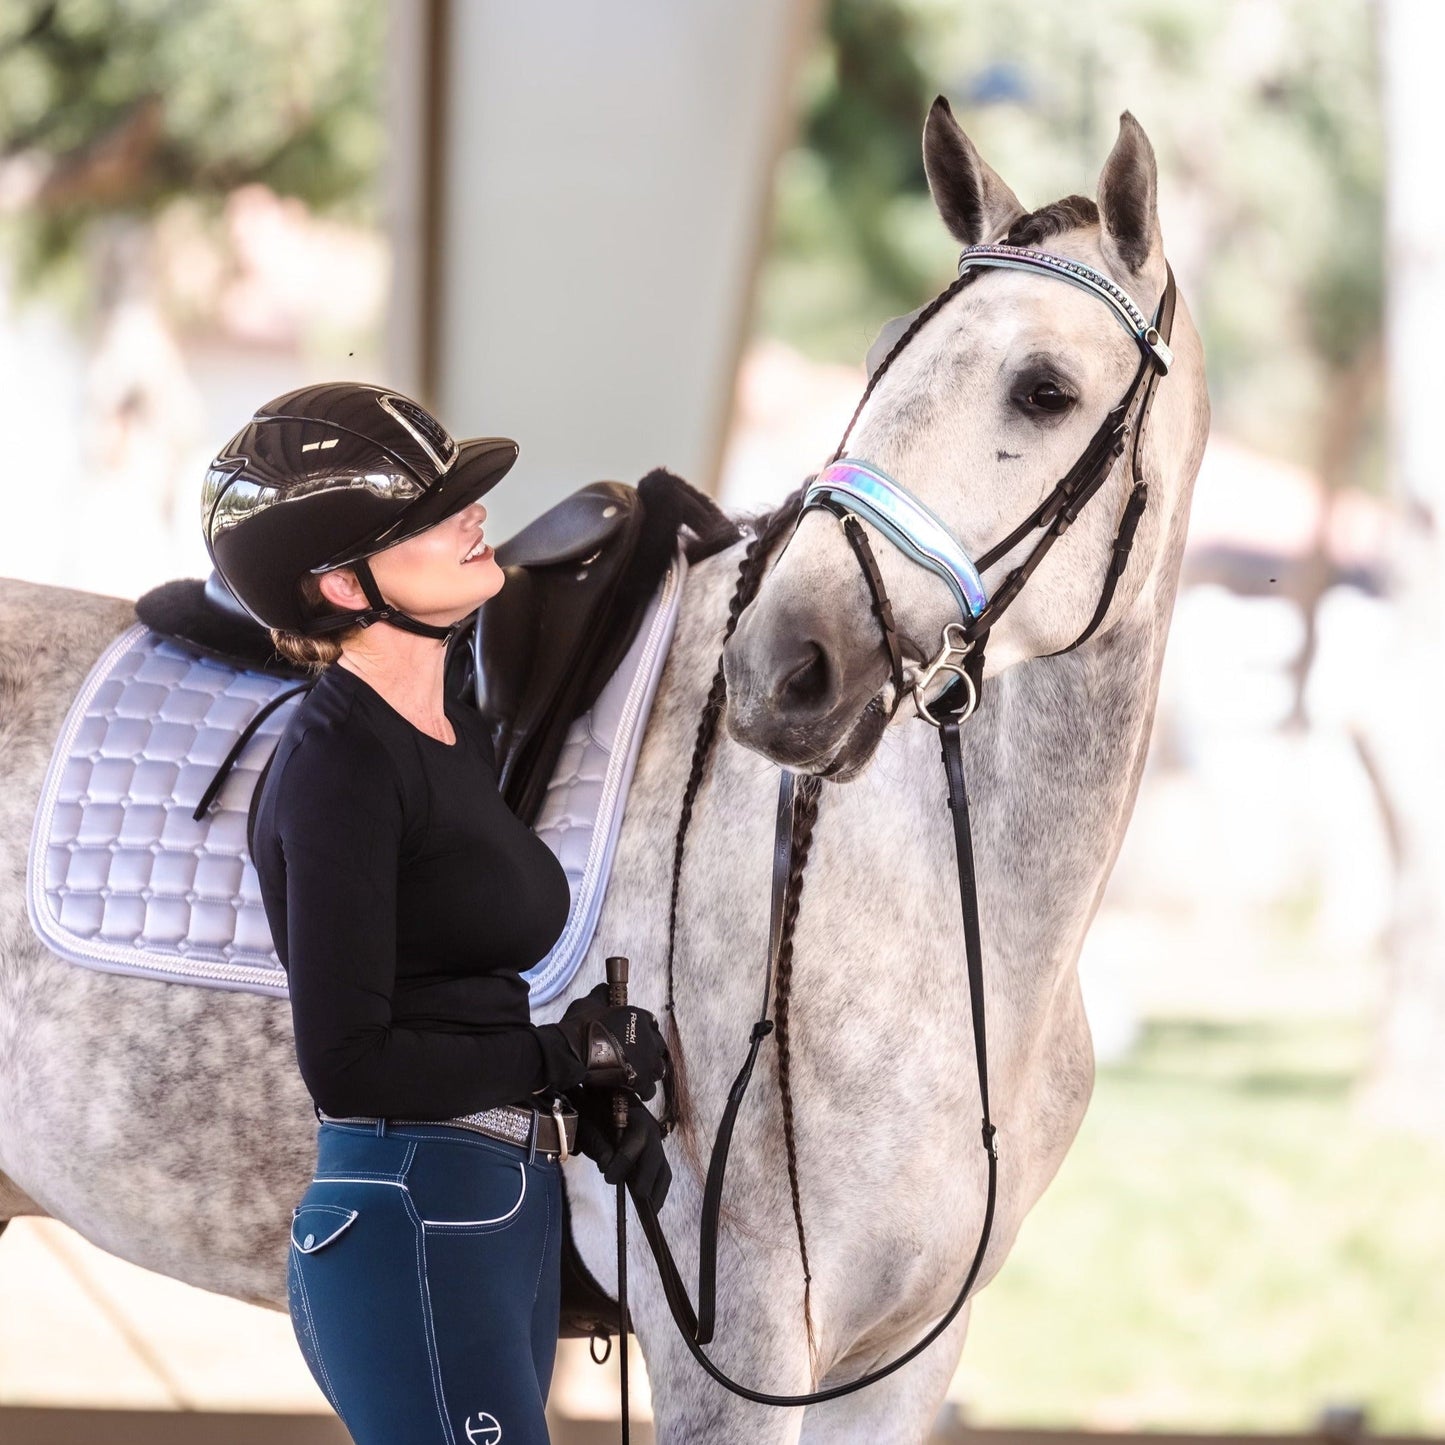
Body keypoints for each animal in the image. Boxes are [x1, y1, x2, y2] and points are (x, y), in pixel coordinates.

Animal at [0, 104, 1202, 1445]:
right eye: (884, 357)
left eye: (1045, 389)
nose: (782, 666)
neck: (940, 930)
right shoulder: (734, 1354)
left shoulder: (896, 1366)